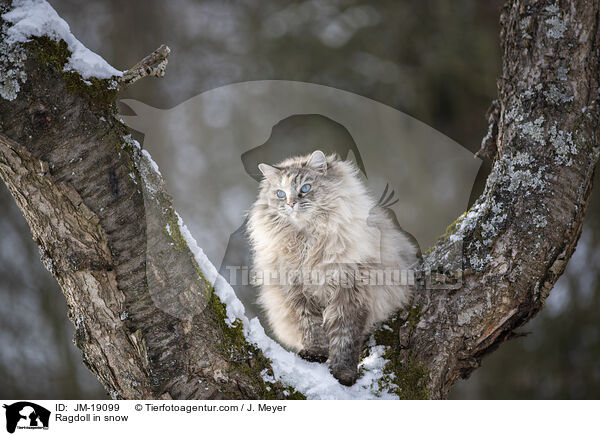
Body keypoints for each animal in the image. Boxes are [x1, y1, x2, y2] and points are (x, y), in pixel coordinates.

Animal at [246, 150, 420, 384]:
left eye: (305, 188)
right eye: (280, 194)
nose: (291, 203)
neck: (308, 243)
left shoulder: (350, 293)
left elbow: (344, 339)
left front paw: (343, 375)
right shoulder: (297, 293)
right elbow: (312, 330)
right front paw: (315, 355)